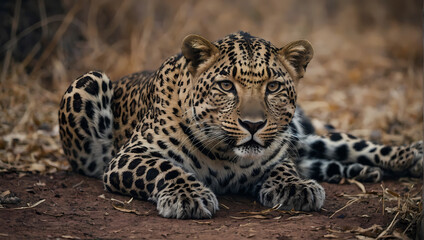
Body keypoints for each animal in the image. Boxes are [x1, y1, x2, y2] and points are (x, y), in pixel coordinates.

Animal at [58, 31, 422, 219]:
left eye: (273, 87)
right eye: (226, 86)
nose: (252, 124)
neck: (226, 153)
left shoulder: (278, 152)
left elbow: (284, 167)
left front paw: (296, 188)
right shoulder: (131, 155)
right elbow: (166, 168)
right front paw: (189, 196)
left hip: (304, 132)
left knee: (347, 145)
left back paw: (408, 156)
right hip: (89, 82)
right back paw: (365, 171)